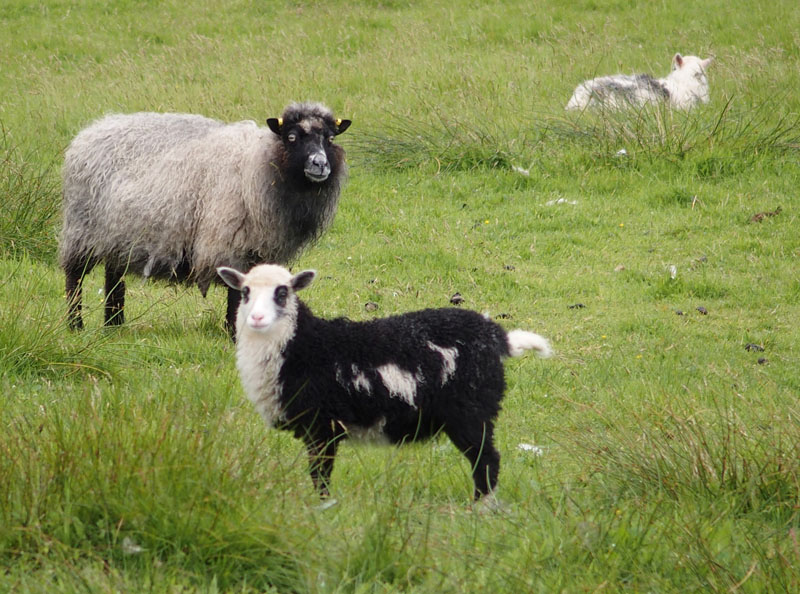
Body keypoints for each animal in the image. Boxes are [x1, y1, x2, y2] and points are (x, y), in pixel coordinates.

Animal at [57, 99, 352, 336]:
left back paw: (114, 325)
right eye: (291, 137)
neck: (259, 166)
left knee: (113, 277)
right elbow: (236, 293)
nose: (320, 164)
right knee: (75, 278)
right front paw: (234, 333)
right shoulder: (229, 242)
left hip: (118, 235)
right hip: (82, 228)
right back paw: (75, 325)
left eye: (330, 138)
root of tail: (93, 129)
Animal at [219, 264, 556, 500]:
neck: (303, 346)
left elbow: (320, 475)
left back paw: (481, 509)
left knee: (487, 460)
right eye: (245, 292)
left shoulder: (323, 425)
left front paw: (321, 508)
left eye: (282, 292)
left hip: (471, 411)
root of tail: (498, 337)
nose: (257, 319)